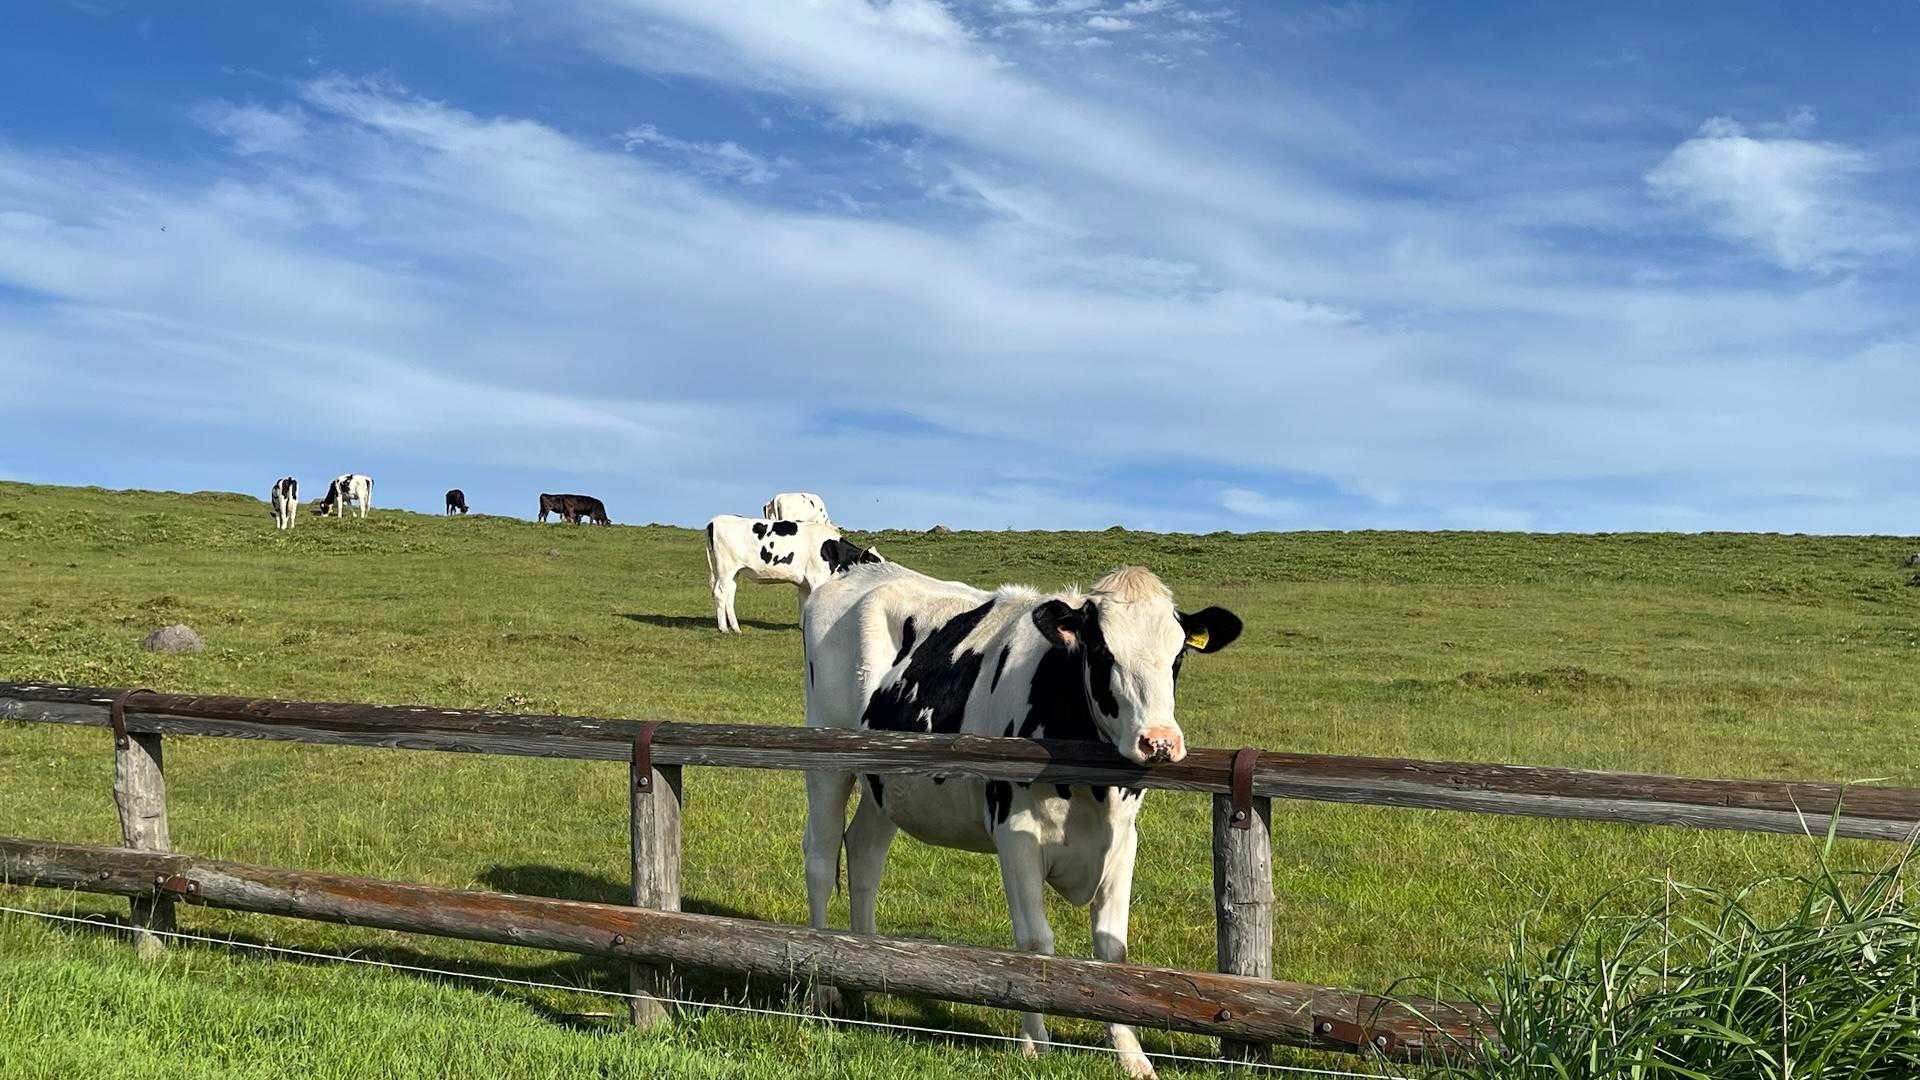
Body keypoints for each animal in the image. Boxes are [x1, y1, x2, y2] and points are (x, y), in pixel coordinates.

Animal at [705, 514, 882, 633]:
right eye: (875, 563)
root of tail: (715, 521)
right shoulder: (817, 578)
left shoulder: (804, 584)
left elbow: (804, 602)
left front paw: (803, 627)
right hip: (726, 568)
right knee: (720, 593)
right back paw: (724, 628)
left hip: (734, 572)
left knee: (729, 595)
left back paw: (735, 628)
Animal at [800, 564, 1242, 1077]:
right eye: (1102, 651)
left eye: (1178, 656)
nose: (1159, 742)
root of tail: (859, 570)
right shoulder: (1016, 835)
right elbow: (1035, 941)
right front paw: (1036, 1043)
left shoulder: (1123, 839)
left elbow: (1113, 948)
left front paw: (1131, 1055)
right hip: (826, 759)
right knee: (821, 858)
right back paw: (822, 988)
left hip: (885, 783)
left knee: (865, 853)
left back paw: (866, 971)